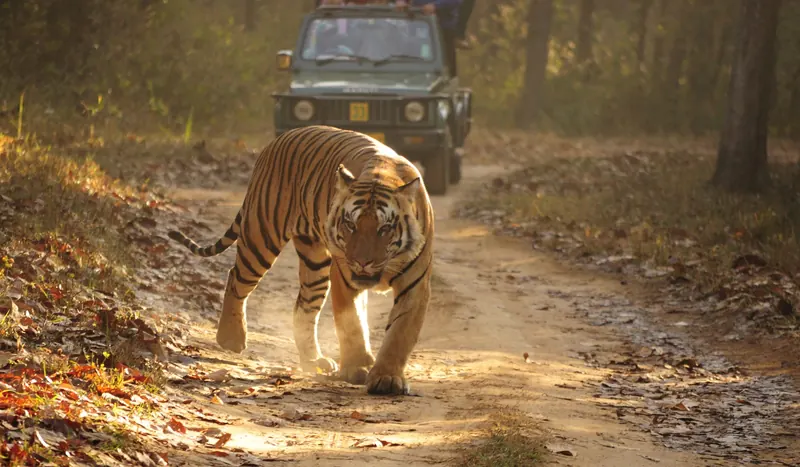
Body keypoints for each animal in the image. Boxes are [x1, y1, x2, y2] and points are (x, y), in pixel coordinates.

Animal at [167, 125, 434, 395]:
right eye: (350, 224)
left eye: (384, 228)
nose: (362, 262)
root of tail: (278, 139)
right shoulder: (344, 277)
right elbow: (352, 324)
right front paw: (356, 368)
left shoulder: (415, 285)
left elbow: (399, 333)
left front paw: (387, 378)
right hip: (261, 236)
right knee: (236, 278)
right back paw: (231, 338)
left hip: (314, 263)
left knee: (303, 308)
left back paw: (313, 360)